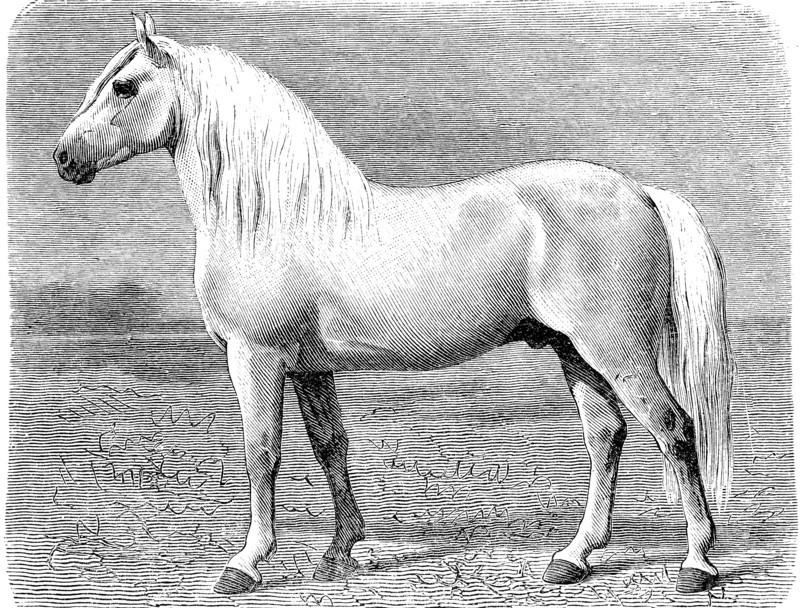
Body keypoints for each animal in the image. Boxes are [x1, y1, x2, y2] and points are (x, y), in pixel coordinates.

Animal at [54, 14, 735, 596]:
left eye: (124, 86)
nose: (63, 158)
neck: (274, 217)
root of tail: (641, 191)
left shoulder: (257, 360)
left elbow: (261, 454)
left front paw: (246, 564)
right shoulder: (309, 367)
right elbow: (329, 445)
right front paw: (340, 553)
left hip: (619, 350)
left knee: (673, 428)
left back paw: (696, 563)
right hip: (575, 351)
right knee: (605, 435)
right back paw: (573, 558)